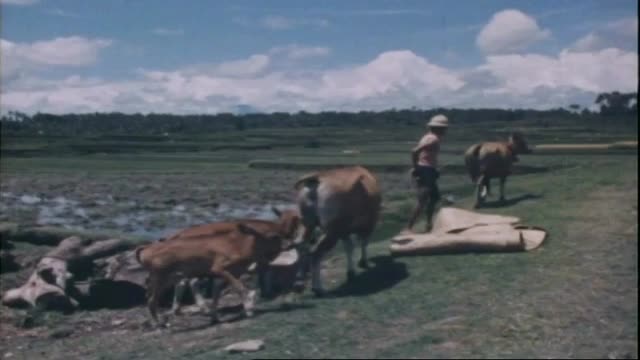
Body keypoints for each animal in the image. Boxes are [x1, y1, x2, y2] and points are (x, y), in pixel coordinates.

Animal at [294, 165, 380, 296]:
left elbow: (349, 247)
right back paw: (317, 288)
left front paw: (351, 272)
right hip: (332, 232)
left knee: (300, 245)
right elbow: (363, 243)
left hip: (308, 224)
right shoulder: (368, 224)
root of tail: (317, 177)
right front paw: (363, 262)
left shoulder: (344, 231)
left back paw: (299, 282)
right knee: (316, 254)